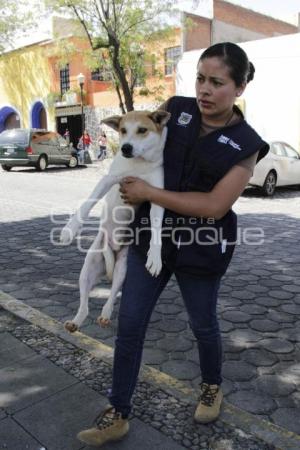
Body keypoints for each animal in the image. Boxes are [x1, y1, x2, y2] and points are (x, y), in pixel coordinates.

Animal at [59, 110, 170, 330]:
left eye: (142, 130)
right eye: (123, 130)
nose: (126, 147)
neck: (138, 163)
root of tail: (112, 248)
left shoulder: (156, 196)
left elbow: (156, 230)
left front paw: (154, 257)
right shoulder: (109, 179)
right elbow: (88, 202)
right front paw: (70, 228)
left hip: (123, 269)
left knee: (113, 294)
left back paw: (105, 314)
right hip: (87, 270)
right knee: (84, 304)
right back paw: (75, 321)